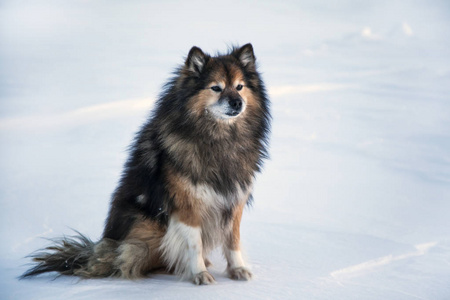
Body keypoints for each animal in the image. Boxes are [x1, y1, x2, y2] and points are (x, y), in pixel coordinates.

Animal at [21, 43, 270, 284]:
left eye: (239, 86)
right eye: (216, 87)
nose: (237, 102)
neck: (220, 139)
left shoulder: (234, 200)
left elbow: (233, 241)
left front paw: (238, 270)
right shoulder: (186, 206)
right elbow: (194, 243)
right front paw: (199, 274)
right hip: (148, 229)